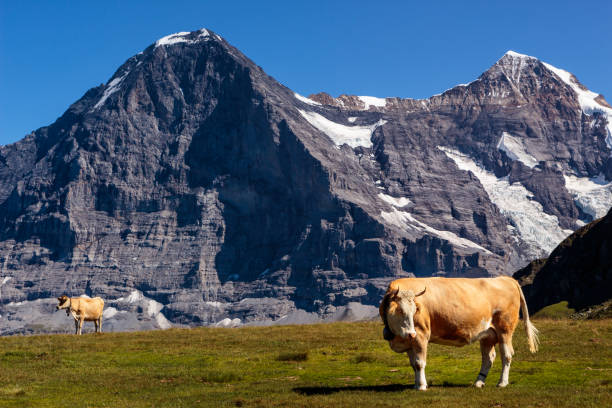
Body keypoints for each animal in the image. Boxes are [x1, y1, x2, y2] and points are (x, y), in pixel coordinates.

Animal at [380, 278, 536, 388]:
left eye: (414, 311)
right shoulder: (409, 342)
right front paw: (416, 384)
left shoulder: (421, 336)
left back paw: (502, 383)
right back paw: (478, 382)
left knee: (507, 355)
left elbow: (419, 363)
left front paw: (422, 386)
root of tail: (507, 279)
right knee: (488, 358)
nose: (411, 333)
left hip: (505, 330)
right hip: (488, 335)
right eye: (400, 310)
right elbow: (413, 364)